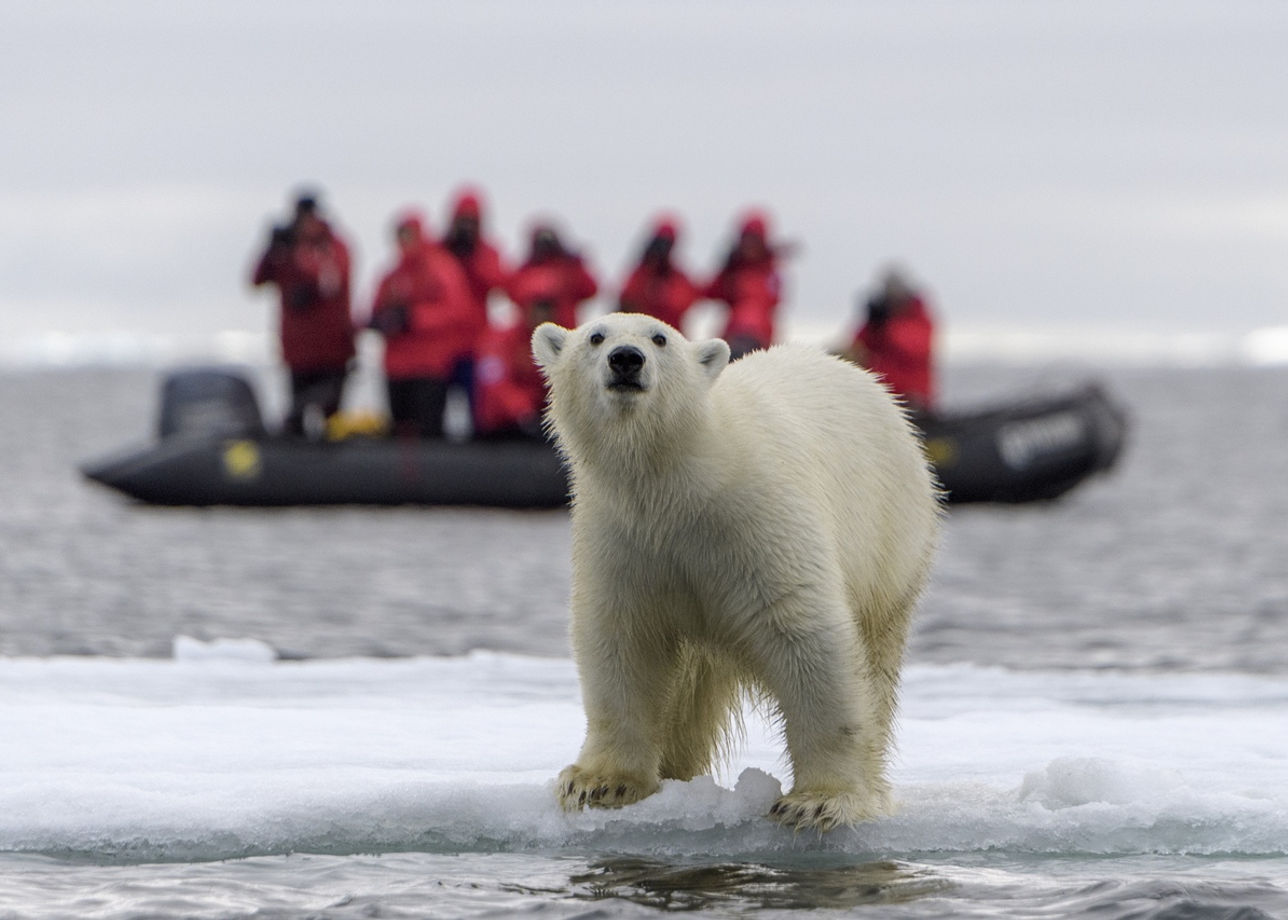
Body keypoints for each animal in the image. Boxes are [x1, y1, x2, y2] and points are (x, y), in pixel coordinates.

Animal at [528, 311, 942, 829]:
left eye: (659, 338)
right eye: (596, 336)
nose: (626, 359)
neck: (678, 484)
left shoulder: (759, 521)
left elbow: (806, 635)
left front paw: (820, 801)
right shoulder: (624, 539)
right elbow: (623, 643)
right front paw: (598, 782)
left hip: (890, 543)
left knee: (876, 660)